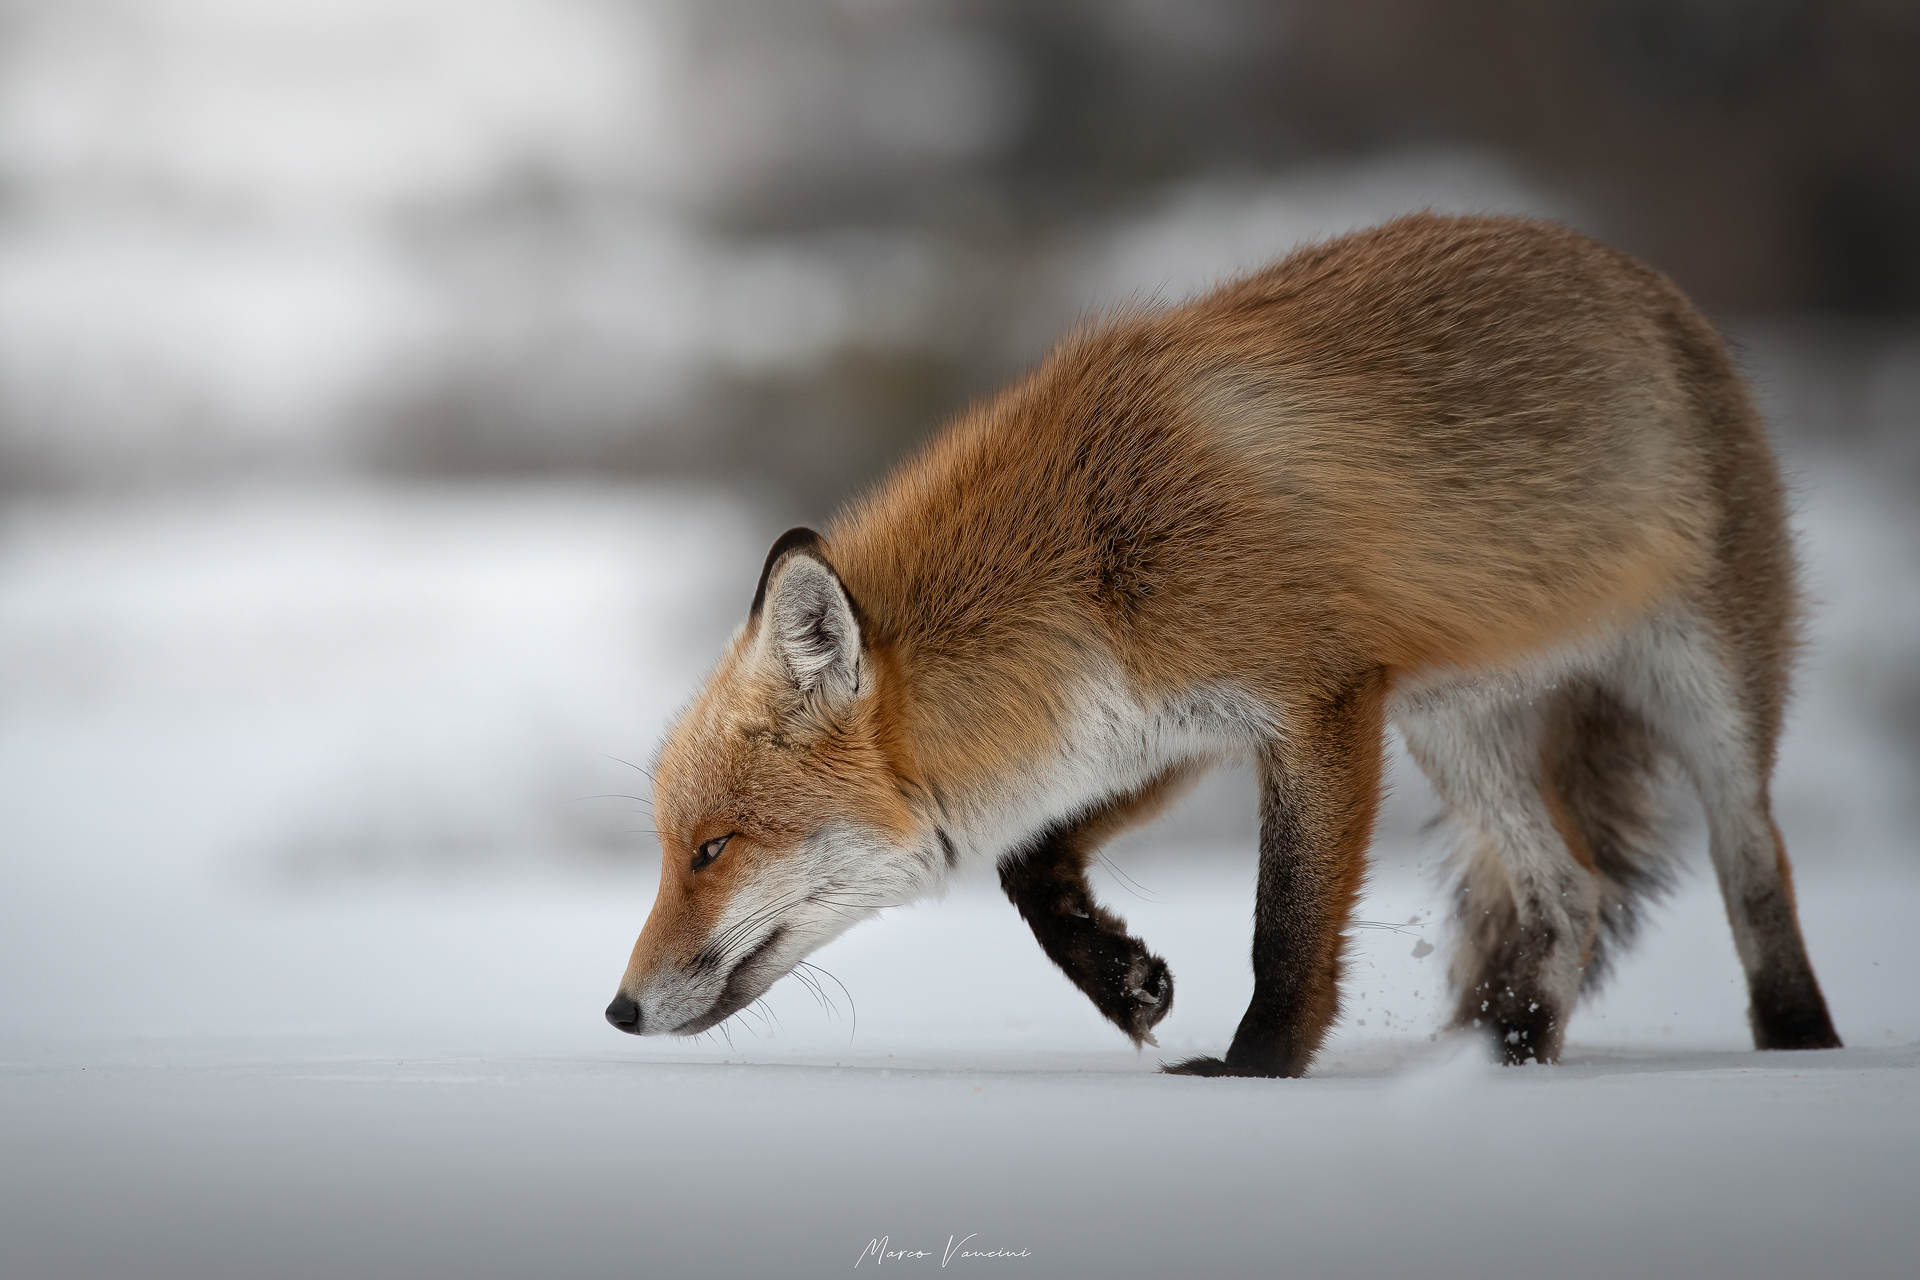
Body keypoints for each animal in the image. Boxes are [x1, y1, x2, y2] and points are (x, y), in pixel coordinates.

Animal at [604, 212, 1842, 1076]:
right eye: (674, 847)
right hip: (1455, 728)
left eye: (711, 848)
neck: (1085, 552)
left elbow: (1284, 929)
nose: (618, 1008)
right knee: (1568, 893)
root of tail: (1645, 279)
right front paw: (1121, 979)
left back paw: (1804, 1049)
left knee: (1756, 871)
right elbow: (1025, 857)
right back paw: (1505, 1063)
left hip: (1708, 693)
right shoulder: (1154, 729)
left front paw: (1255, 1073)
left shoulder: (1318, 702)